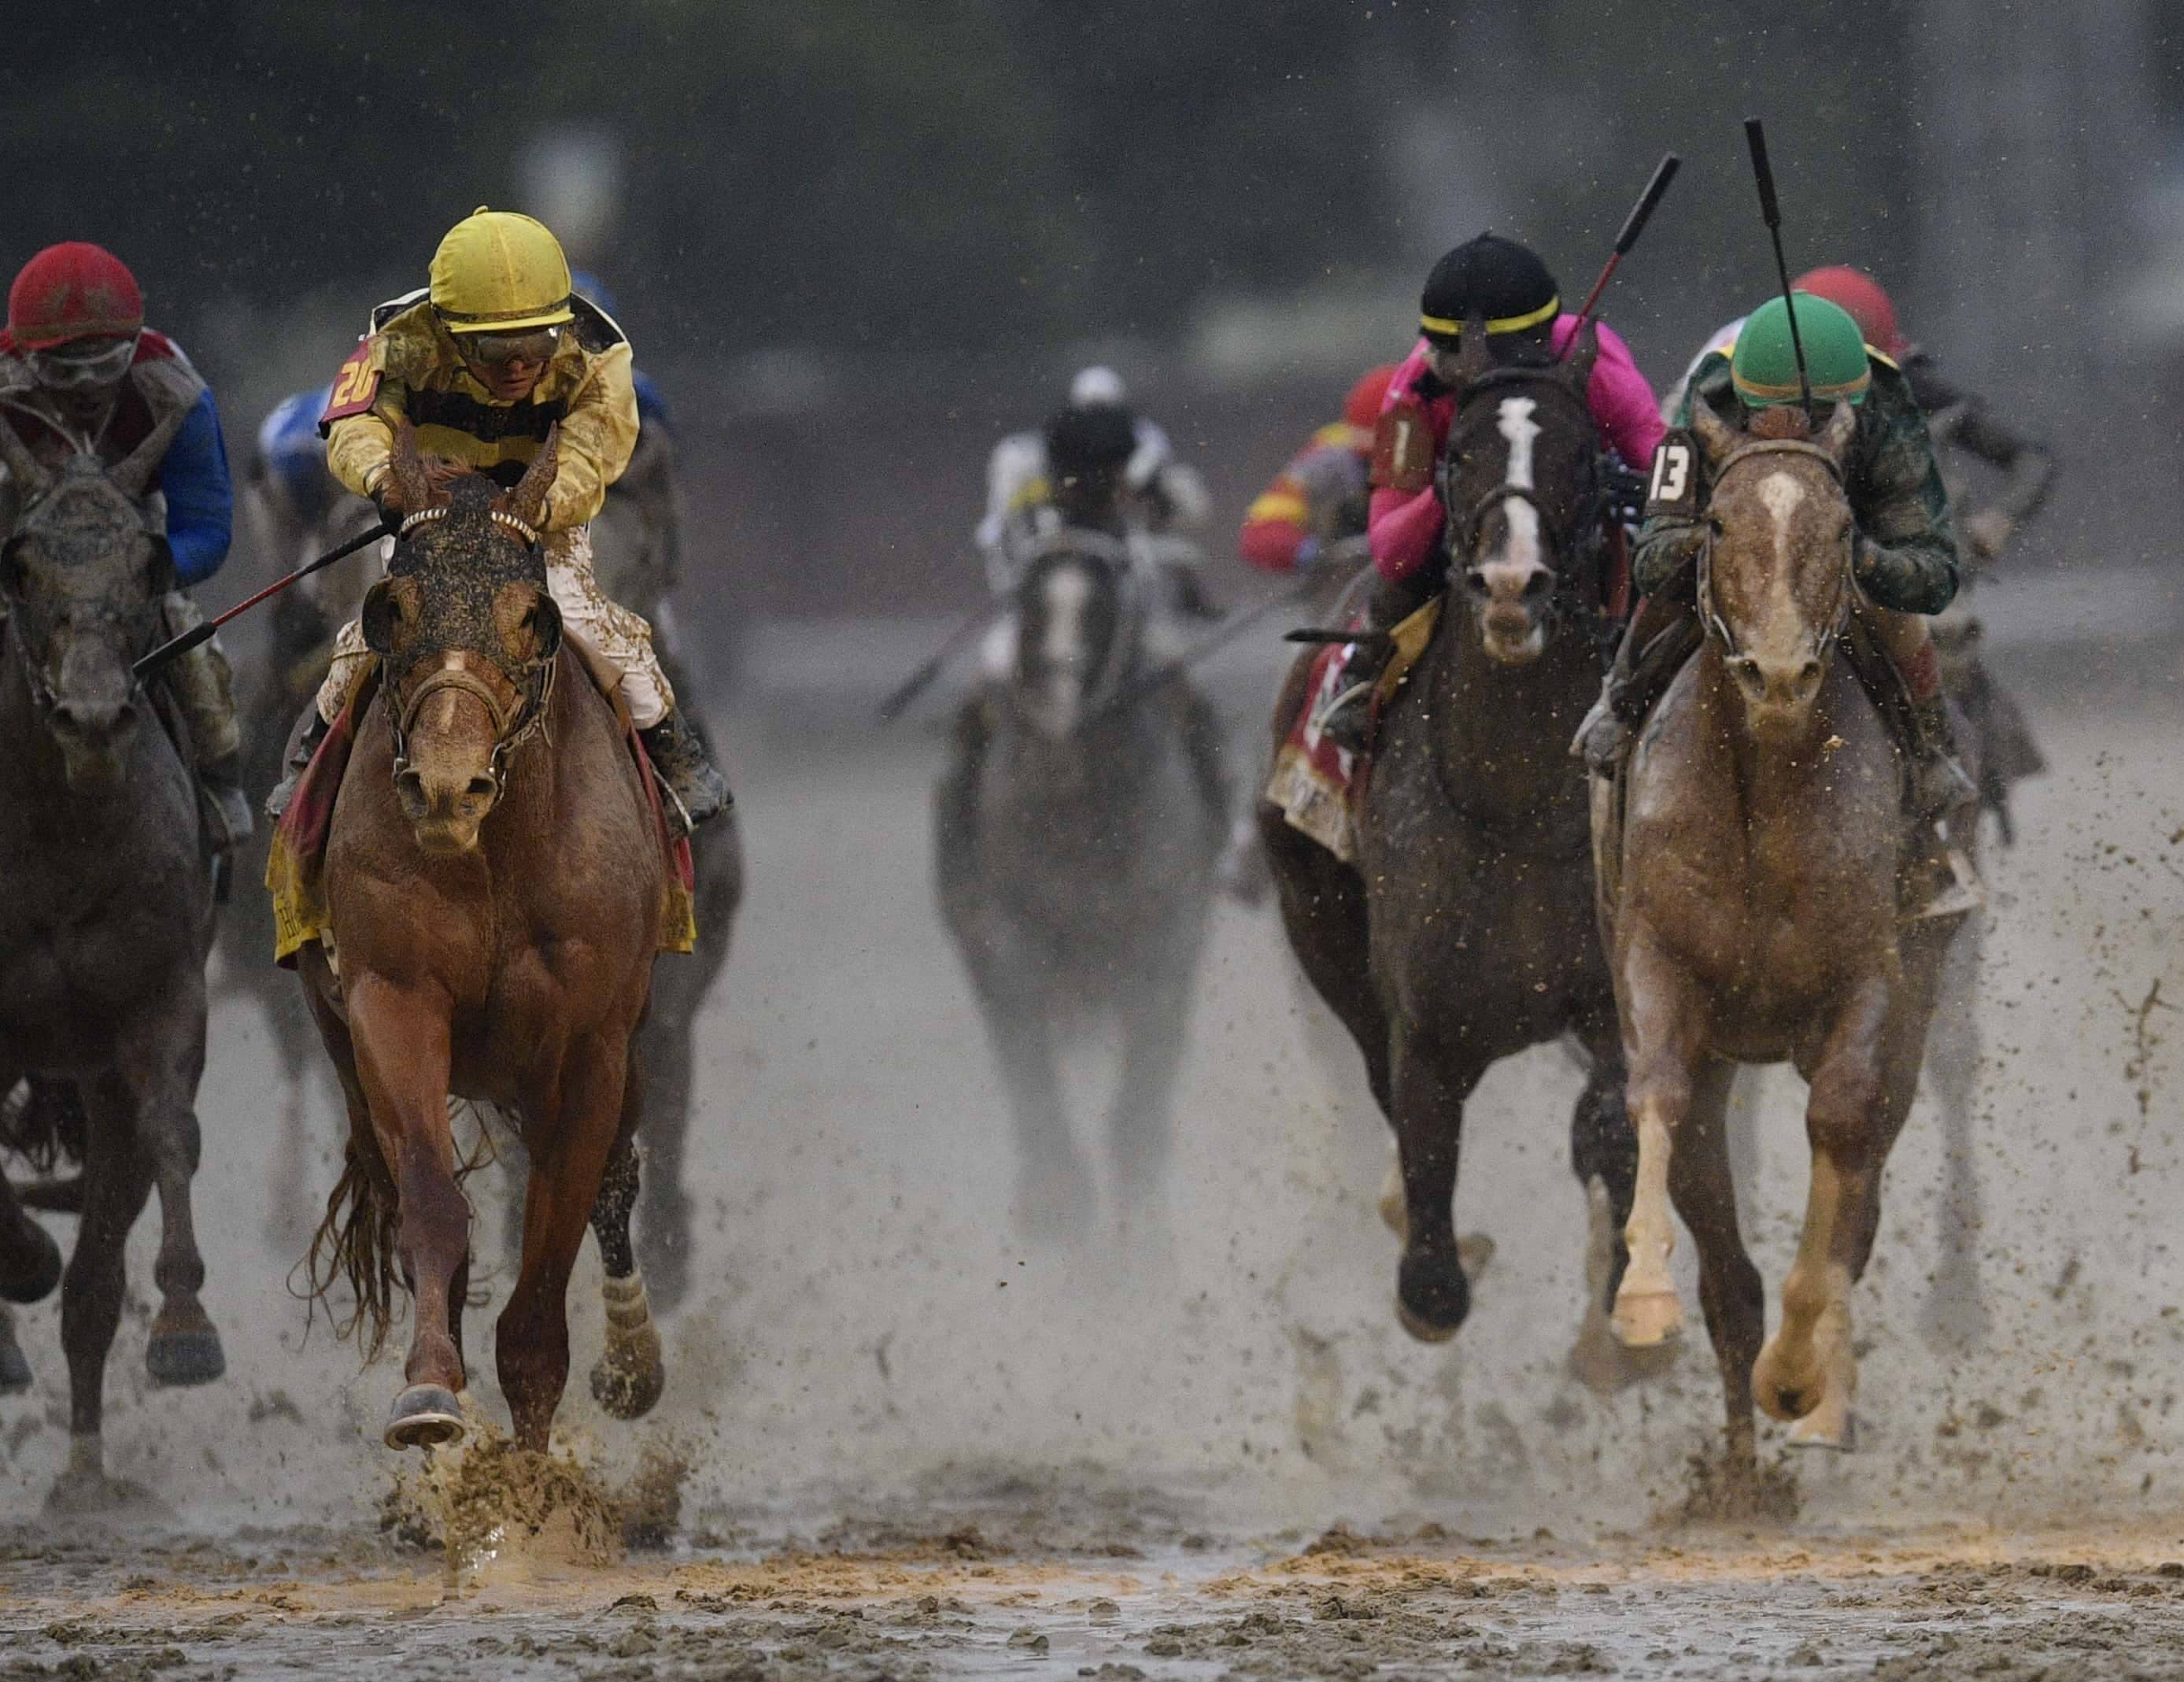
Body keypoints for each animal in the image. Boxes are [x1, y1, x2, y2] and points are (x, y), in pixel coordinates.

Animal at [303, 426, 668, 1450]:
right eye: (390, 608)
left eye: (532, 617)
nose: (444, 786)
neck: (497, 853)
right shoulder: (391, 994)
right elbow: (434, 1201)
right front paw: (431, 1393)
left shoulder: (590, 1044)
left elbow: (545, 1282)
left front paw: (534, 1469)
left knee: (615, 1180)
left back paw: (632, 1361)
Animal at [930, 537, 1223, 1232]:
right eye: (1027, 607)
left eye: (1105, 612)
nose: (1055, 718)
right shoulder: (1007, 935)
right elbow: (1029, 1061)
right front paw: (1057, 1197)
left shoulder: (1164, 934)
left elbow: (1144, 1078)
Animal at [1266, 320, 1642, 1354]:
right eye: (1461, 453)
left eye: (1579, 454)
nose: (1513, 585)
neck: (1517, 803)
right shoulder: (1426, 1025)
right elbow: (1426, 1178)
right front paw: (1432, 1267)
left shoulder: (1610, 990)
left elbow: (1612, 1121)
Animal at [1607, 399, 1983, 1477]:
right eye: (1718, 522)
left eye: (1841, 528)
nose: (1778, 672)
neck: (1767, 786)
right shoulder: (1655, 957)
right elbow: (1658, 1093)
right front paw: (1642, 1298)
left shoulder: (1870, 978)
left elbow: (1843, 1129)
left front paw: (1802, 1373)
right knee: (1720, 1234)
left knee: (1863, 1179)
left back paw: (1816, 1401)